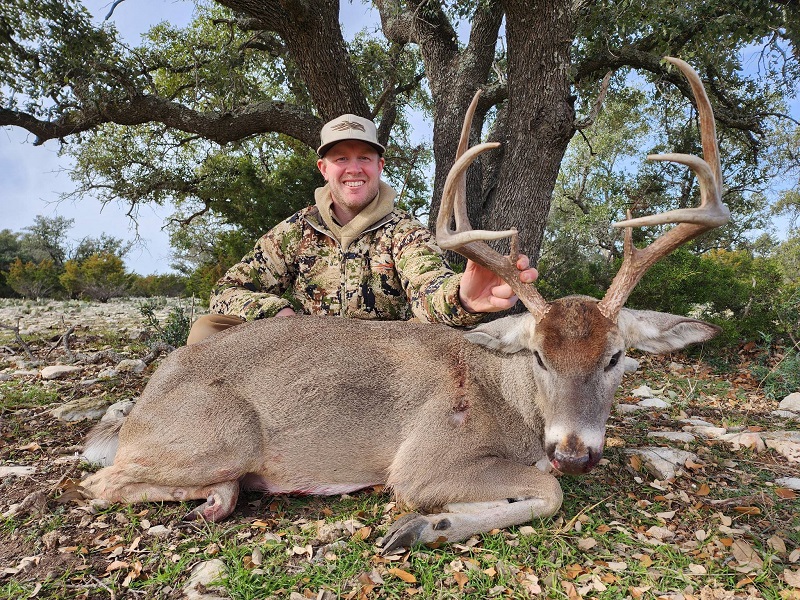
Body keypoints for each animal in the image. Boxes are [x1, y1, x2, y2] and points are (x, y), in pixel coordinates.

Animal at [80, 57, 729, 553]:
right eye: (540, 356)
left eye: (616, 357)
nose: (573, 451)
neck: (511, 401)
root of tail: (145, 402)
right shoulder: (424, 460)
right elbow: (547, 493)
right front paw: (421, 525)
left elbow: (548, 488)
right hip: (222, 436)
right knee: (101, 484)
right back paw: (220, 495)